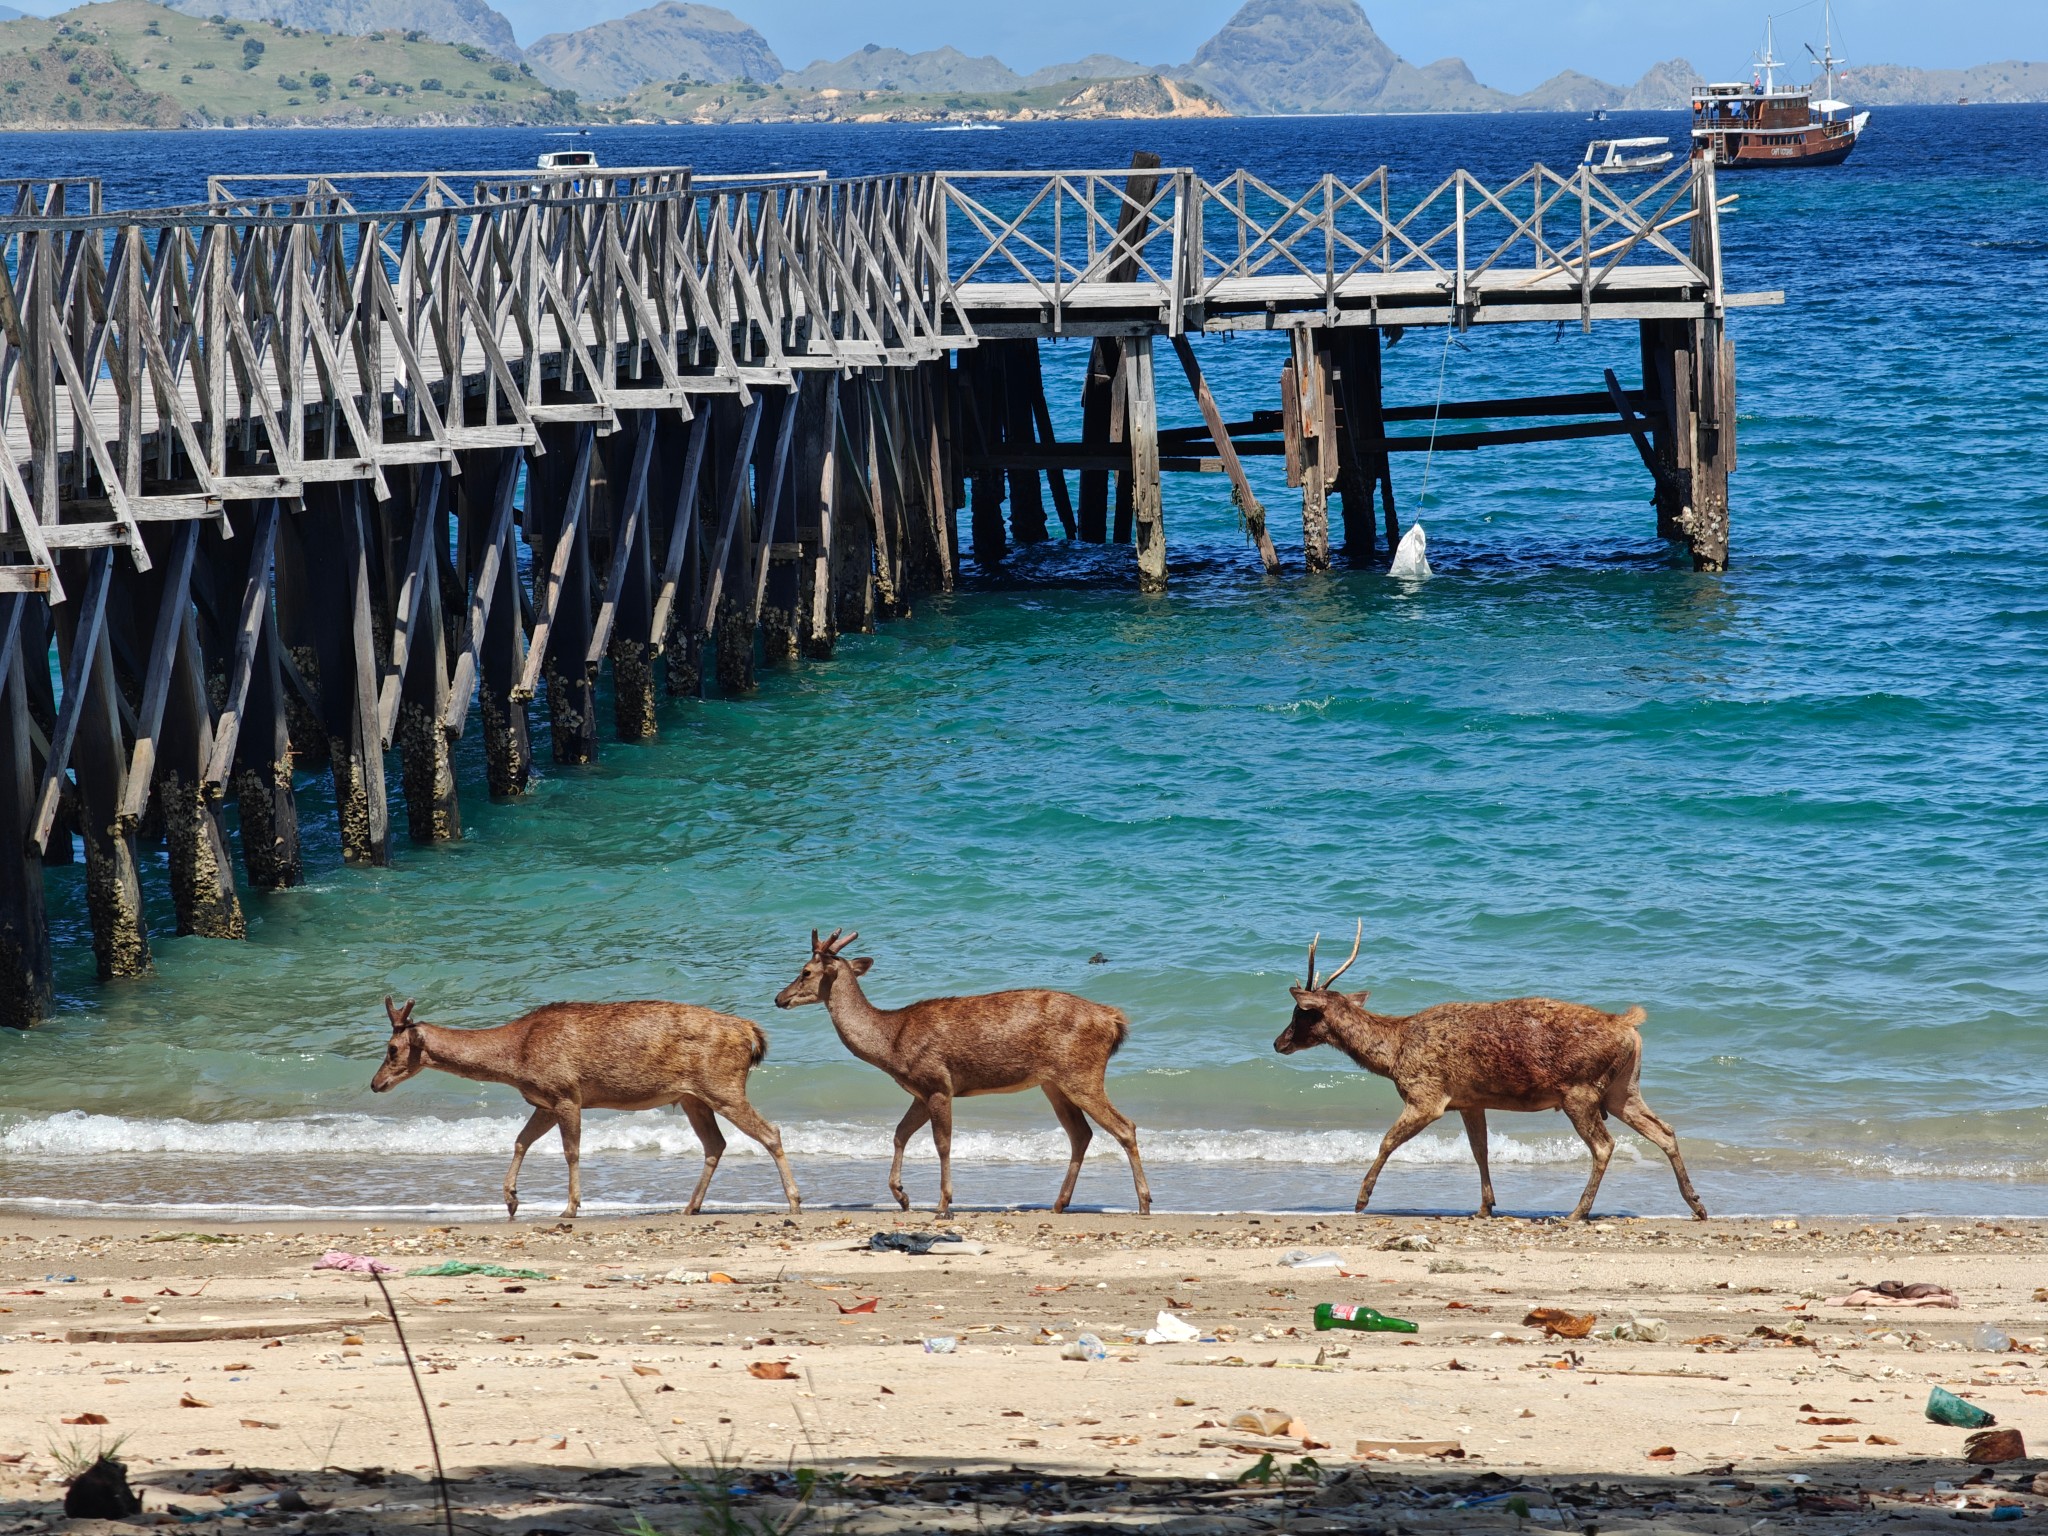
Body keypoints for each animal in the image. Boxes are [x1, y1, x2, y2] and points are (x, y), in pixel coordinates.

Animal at [368, 999, 798, 1228]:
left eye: (391, 1049)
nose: (374, 1084)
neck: (516, 1057)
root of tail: (751, 1033)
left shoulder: (565, 1093)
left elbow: (571, 1151)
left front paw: (571, 1206)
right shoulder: (543, 1101)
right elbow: (520, 1141)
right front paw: (511, 1199)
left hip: (722, 1086)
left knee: (770, 1132)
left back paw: (793, 1201)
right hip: (694, 1097)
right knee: (716, 1144)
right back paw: (691, 1205)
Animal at [770, 933, 1155, 1220]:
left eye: (805, 971)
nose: (778, 998)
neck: (891, 1042)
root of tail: (1114, 1021)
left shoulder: (938, 1083)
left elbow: (942, 1143)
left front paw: (943, 1205)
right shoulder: (920, 1091)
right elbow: (899, 1134)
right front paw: (902, 1196)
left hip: (1081, 1073)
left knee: (1125, 1127)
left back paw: (1143, 1203)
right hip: (1054, 1083)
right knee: (1081, 1134)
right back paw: (1059, 1203)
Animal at [1269, 925, 1703, 1228]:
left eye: (1300, 1014)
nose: (1277, 1042)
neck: (1393, 1054)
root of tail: (1629, 1025)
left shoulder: (1427, 1094)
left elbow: (1387, 1141)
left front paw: (1361, 1200)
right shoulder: (1469, 1100)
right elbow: (1480, 1150)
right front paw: (1484, 1207)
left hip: (1580, 1089)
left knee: (1604, 1145)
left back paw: (1576, 1213)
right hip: (1622, 1087)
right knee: (1664, 1130)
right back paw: (1696, 1204)